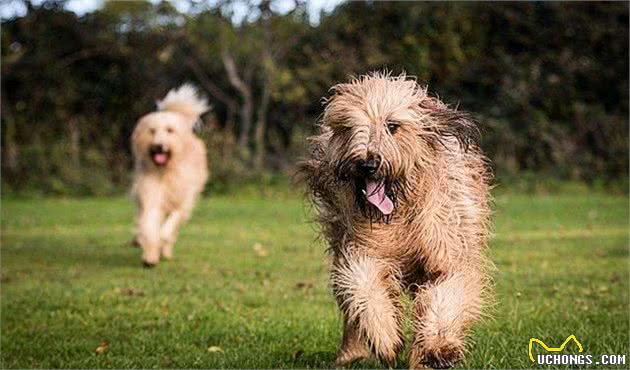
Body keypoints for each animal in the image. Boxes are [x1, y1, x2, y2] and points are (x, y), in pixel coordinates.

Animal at [298, 73, 496, 370]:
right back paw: (350, 354)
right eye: (348, 127)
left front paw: (439, 347)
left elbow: (445, 296)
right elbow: (363, 286)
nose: (367, 164)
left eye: (393, 126)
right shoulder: (362, 249)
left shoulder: (449, 251)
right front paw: (385, 339)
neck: (400, 214)